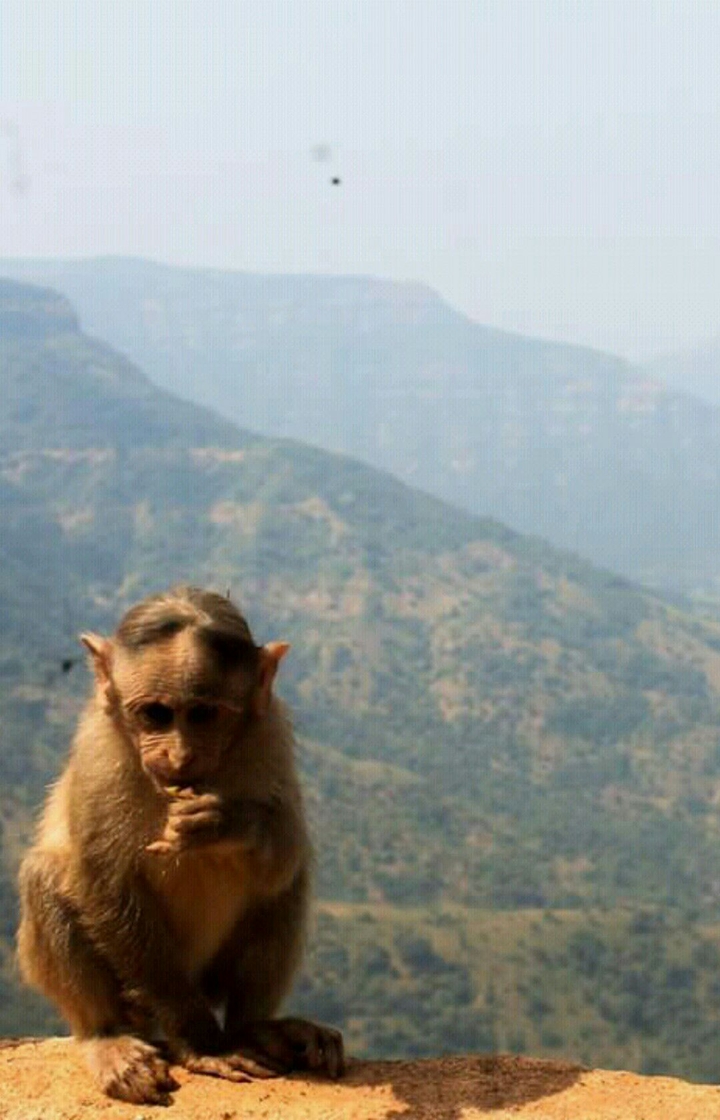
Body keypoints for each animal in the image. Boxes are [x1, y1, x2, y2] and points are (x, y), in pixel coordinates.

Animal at [17, 586, 344, 1105]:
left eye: (204, 714)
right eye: (155, 714)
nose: (178, 755)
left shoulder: (270, 730)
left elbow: (287, 850)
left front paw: (226, 822)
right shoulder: (98, 749)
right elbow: (106, 885)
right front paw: (203, 1044)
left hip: (212, 977)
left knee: (287, 883)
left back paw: (257, 1028)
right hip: (144, 997)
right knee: (46, 876)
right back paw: (107, 1036)